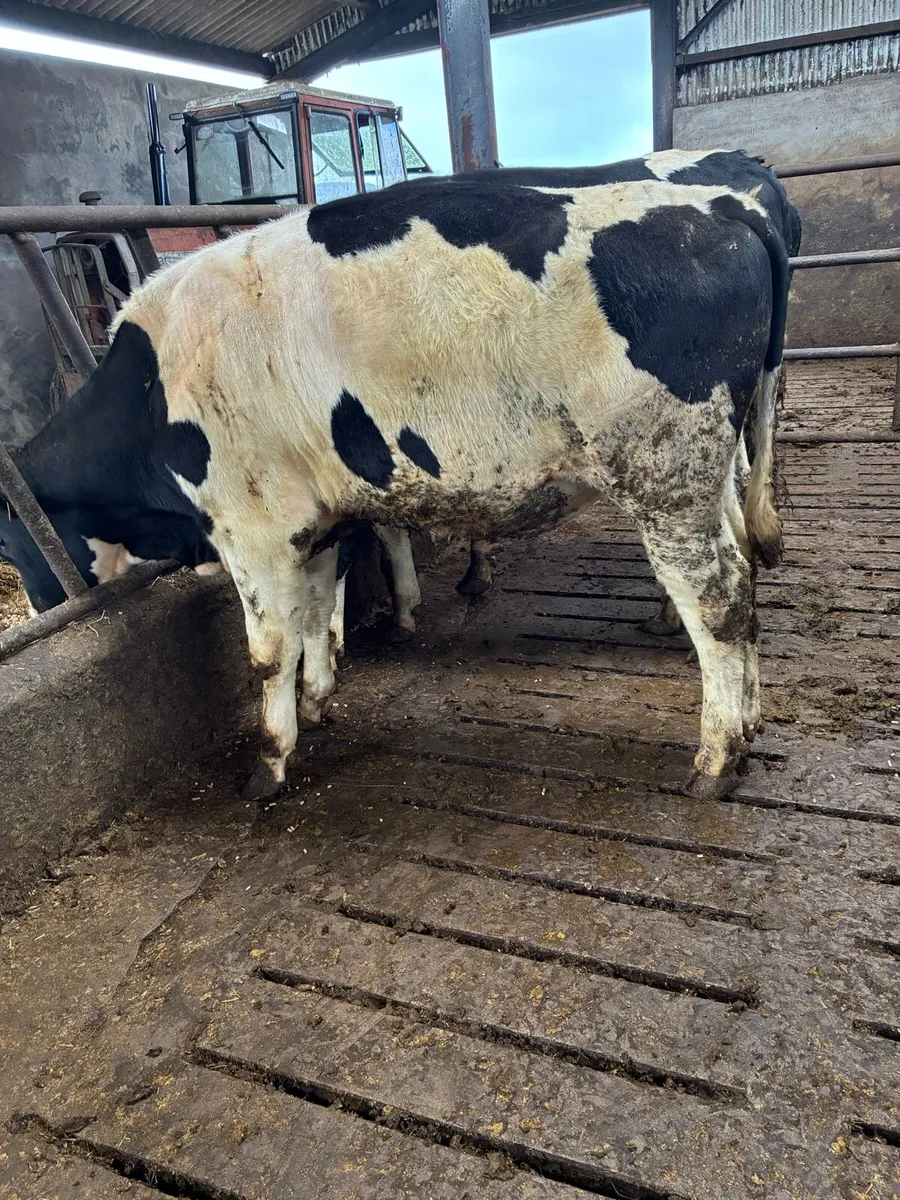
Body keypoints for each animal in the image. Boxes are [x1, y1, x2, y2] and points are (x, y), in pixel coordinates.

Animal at [2, 161, 794, 806]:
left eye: (9, 544)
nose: (40, 604)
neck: (154, 388)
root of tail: (724, 209)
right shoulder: (310, 520)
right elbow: (315, 610)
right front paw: (318, 699)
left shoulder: (251, 528)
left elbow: (268, 648)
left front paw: (269, 763)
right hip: (708, 472)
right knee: (744, 573)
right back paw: (749, 728)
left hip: (666, 476)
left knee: (720, 601)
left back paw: (715, 759)